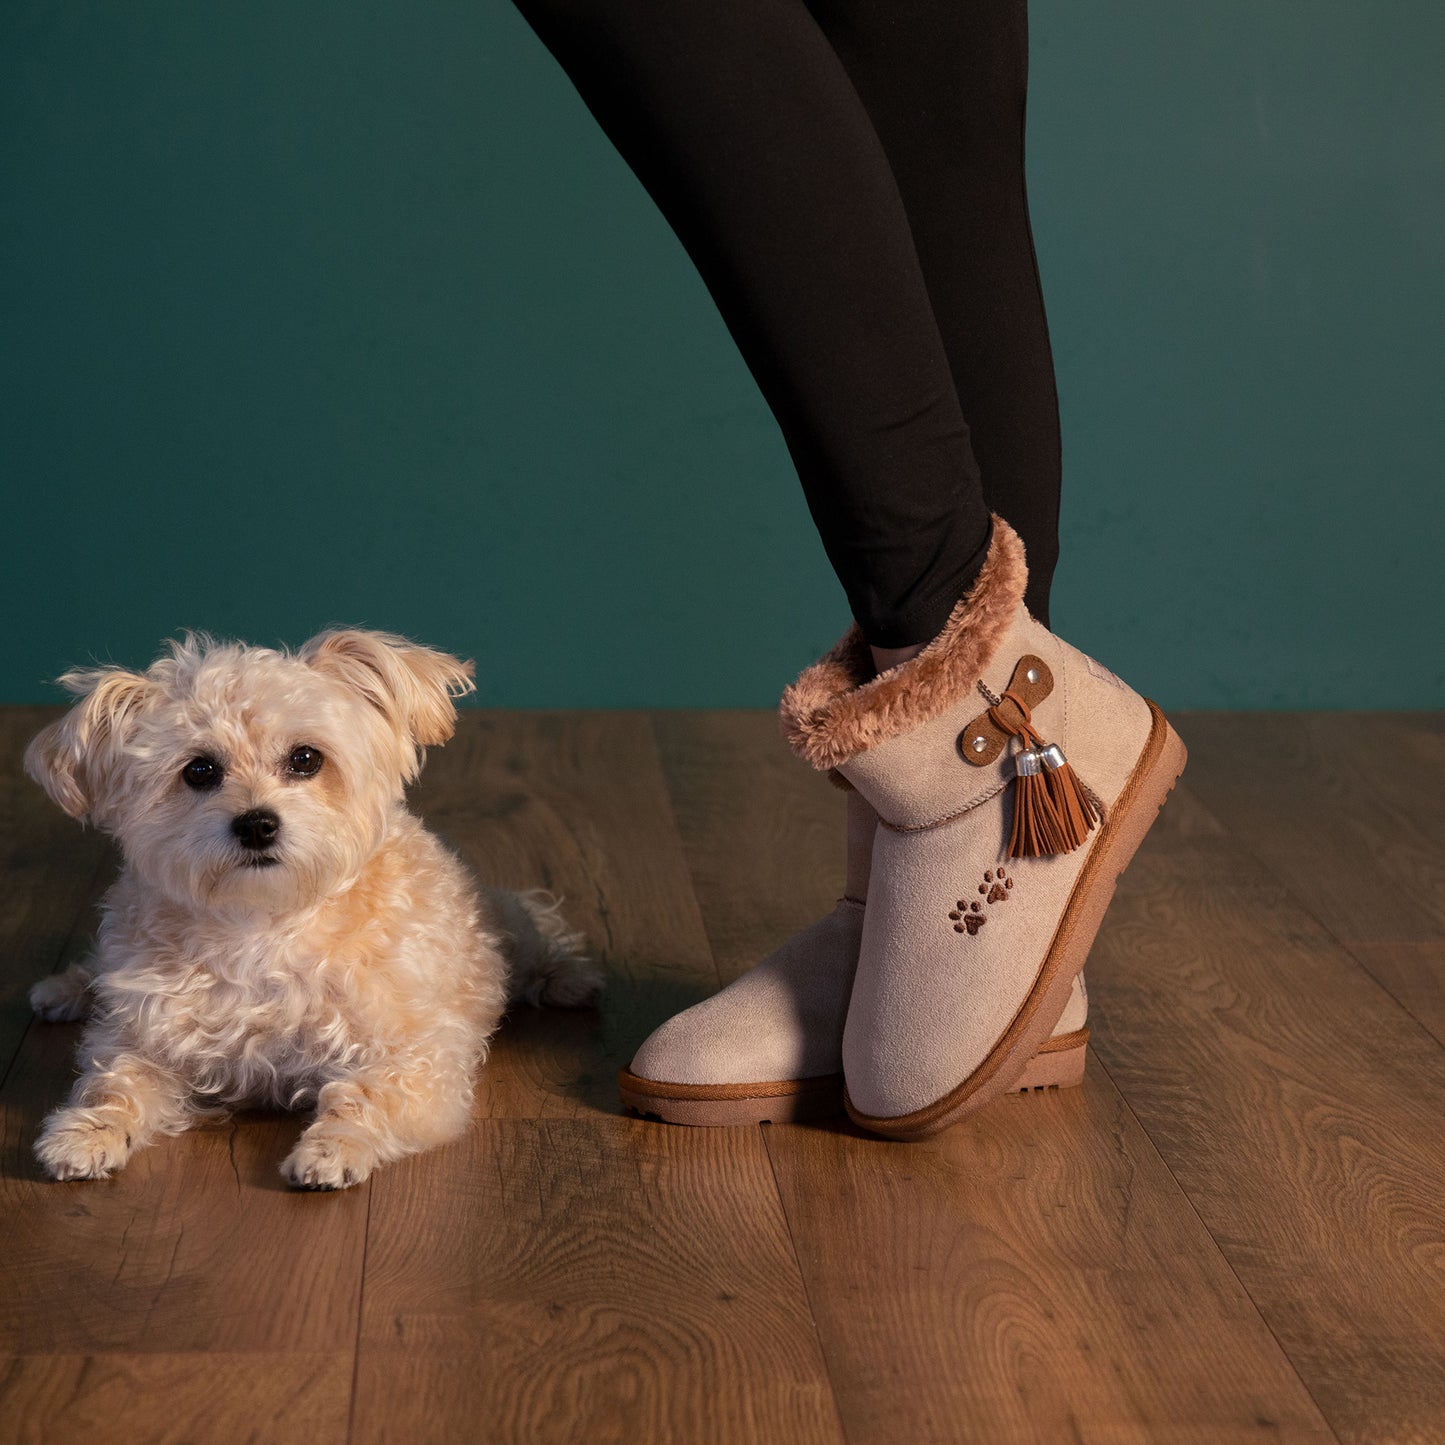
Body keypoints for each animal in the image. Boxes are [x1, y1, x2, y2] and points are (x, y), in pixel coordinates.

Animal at [28, 627, 604, 1190]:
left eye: (306, 759)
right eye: (199, 771)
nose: (257, 824)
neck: (264, 924)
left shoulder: (421, 1058)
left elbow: (367, 1096)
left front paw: (332, 1150)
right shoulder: (146, 1041)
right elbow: (116, 1086)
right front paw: (83, 1135)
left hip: (504, 932)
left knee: (534, 943)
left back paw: (570, 979)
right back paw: (64, 989)